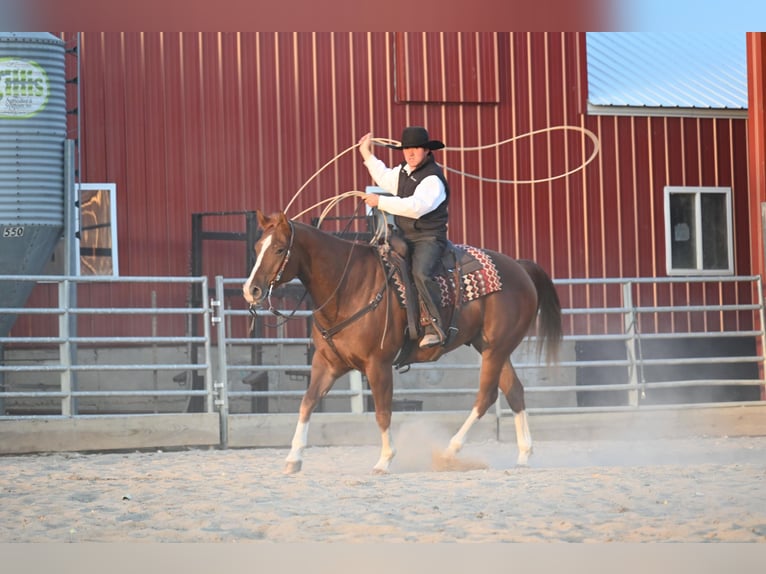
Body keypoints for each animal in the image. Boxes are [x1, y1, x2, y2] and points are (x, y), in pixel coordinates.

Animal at [246, 212, 564, 476]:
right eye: (257, 247)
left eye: (279, 249)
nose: (251, 290)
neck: (349, 286)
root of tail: (519, 268)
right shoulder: (327, 363)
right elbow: (307, 402)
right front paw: (293, 458)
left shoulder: (378, 365)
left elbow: (382, 411)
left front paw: (385, 460)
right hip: (492, 348)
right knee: (514, 391)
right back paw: (523, 456)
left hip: (495, 350)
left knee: (485, 397)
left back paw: (448, 452)